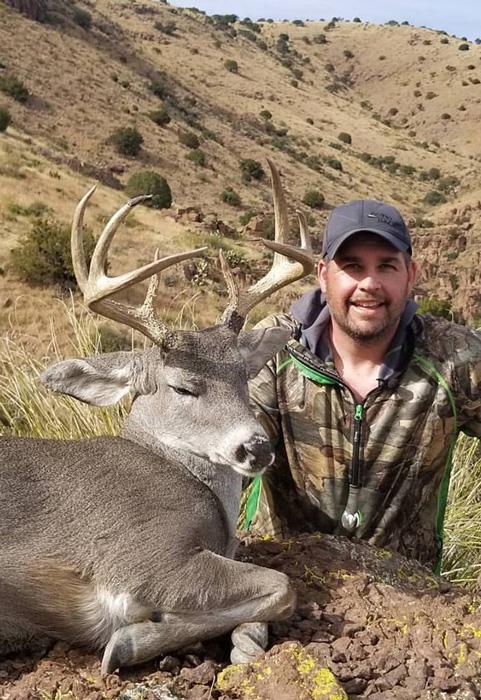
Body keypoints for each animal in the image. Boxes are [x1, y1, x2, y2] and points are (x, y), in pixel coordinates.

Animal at [0, 160, 314, 675]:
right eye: (181, 386)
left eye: (245, 375)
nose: (256, 447)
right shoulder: (143, 558)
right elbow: (282, 585)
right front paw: (130, 641)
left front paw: (246, 640)